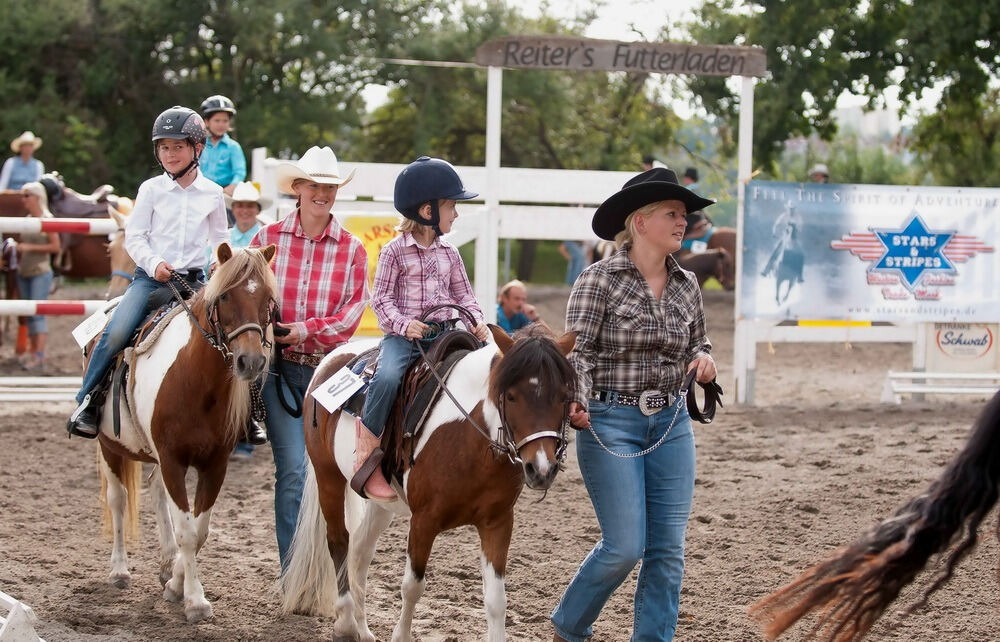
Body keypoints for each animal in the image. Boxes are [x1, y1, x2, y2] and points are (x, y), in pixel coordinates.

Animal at [93, 241, 276, 620]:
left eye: (267, 297)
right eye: (225, 296)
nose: (250, 362)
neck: (195, 381)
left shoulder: (215, 465)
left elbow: (198, 530)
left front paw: (177, 584)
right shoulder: (173, 461)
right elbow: (188, 532)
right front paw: (195, 600)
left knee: (156, 492)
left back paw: (165, 564)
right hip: (108, 445)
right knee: (118, 499)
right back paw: (119, 570)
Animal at [282, 324, 580, 640]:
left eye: (563, 396)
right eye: (510, 396)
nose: (541, 468)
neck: (469, 438)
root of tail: (328, 361)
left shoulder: (498, 523)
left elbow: (496, 599)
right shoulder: (424, 521)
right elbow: (412, 587)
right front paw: (400, 635)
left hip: (380, 503)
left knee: (361, 551)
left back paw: (362, 628)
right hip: (328, 476)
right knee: (339, 540)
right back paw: (346, 624)